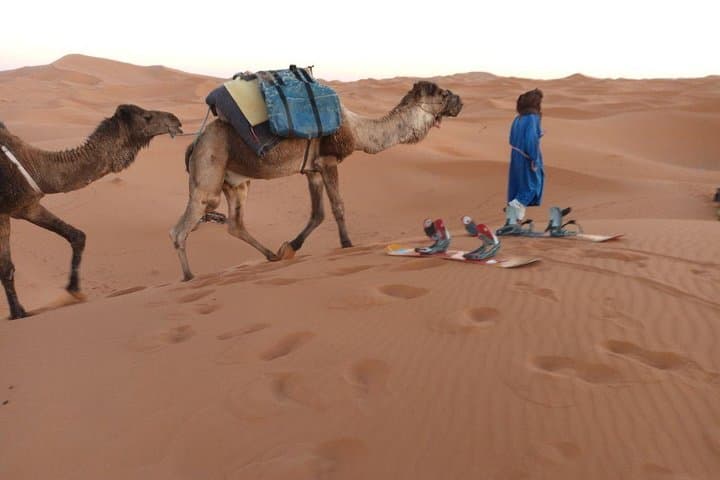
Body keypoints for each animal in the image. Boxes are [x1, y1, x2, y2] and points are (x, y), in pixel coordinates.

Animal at [0, 105, 182, 319]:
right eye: (147, 117)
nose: (175, 119)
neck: (32, 165)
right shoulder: (3, 213)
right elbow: (6, 268)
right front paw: (17, 313)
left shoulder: (27, 206)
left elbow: (77, 235)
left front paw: (74, 290)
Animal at [171, 81, 462, 281]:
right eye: (443, 94)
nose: (460, 101)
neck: (357, 131)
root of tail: (195, 142)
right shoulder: (328, 160)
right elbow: (337, 206)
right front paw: (347, 244)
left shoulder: (311, 169)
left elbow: (318, 212)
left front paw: (290, 247)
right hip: (209, 172)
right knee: (182, 226)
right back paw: (188, 277)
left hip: (234, 182)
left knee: (235, 223)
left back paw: (272, 255)